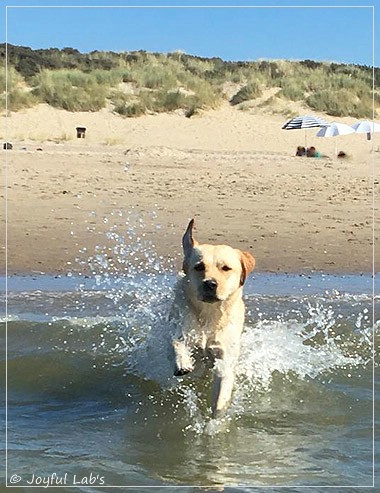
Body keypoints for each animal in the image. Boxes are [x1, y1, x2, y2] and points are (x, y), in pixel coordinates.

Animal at [170, 219, 255, 416]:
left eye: (226, 268)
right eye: (199, 267)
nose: (210, 283)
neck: (209, 315)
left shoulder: (224, 358)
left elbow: (221, 395)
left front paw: (217, 417)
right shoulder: (182, 330)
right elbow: (177, 342)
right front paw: (183, 363)